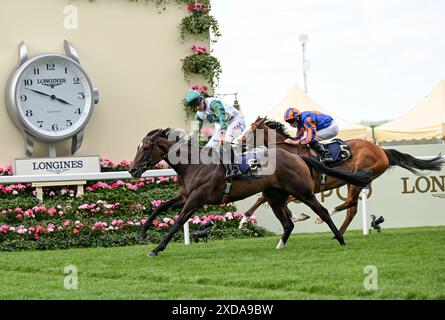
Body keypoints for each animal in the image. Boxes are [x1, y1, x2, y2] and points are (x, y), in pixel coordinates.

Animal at [128, 129, 372, 256]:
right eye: (138, 147)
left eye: (146, 147)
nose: (132, 170)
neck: (194, 164)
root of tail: (298, 157)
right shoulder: (185, 197)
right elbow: (161, 206)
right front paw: (143, 234)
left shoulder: (196, 199)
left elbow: (178, 222)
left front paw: (156, 248)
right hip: (275, 197)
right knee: (288, 224)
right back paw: (280, 245)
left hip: (303, 192)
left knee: (323, 212)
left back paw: (340, 239)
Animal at [241, 117, 444, 235]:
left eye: (252, 130)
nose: (240, 142)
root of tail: (382, 150)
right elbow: (262, 199)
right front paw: (244, 220)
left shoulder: (301, 188)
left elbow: (274, 200)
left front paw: (299, 216)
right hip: (352, 182)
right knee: (352, 208)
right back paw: (337, 232)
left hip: (359, 177)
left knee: (350, 203)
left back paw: (326, 218)